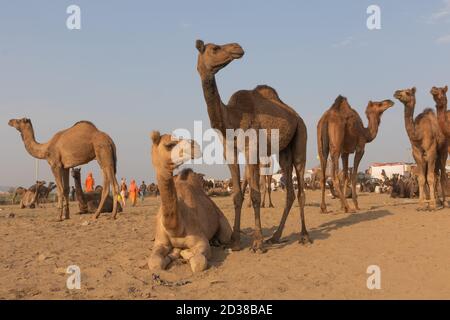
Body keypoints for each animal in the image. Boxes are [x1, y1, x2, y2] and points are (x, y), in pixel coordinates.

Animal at [149, 131, 232, 274]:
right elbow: (154, 263)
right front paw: (172, 254)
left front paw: (181, 252)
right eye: (169, 145)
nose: (195, 145)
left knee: (225, 236)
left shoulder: (201, 240)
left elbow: (198, 262)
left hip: (224, 227)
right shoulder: (160, 242)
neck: (176, 228)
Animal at [195, 39, 312, 252]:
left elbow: (256, 195)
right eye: (215, 48)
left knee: (300, 189)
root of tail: (296, 116)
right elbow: (237, 195)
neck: (232, 119)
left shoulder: (252, 150)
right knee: (290, 192)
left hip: (301, 134)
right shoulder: (230, 152)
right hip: (284, 152)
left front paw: (257, 243)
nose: (237, 47)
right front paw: (234, 241)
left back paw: (304, 236)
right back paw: (275, 236)